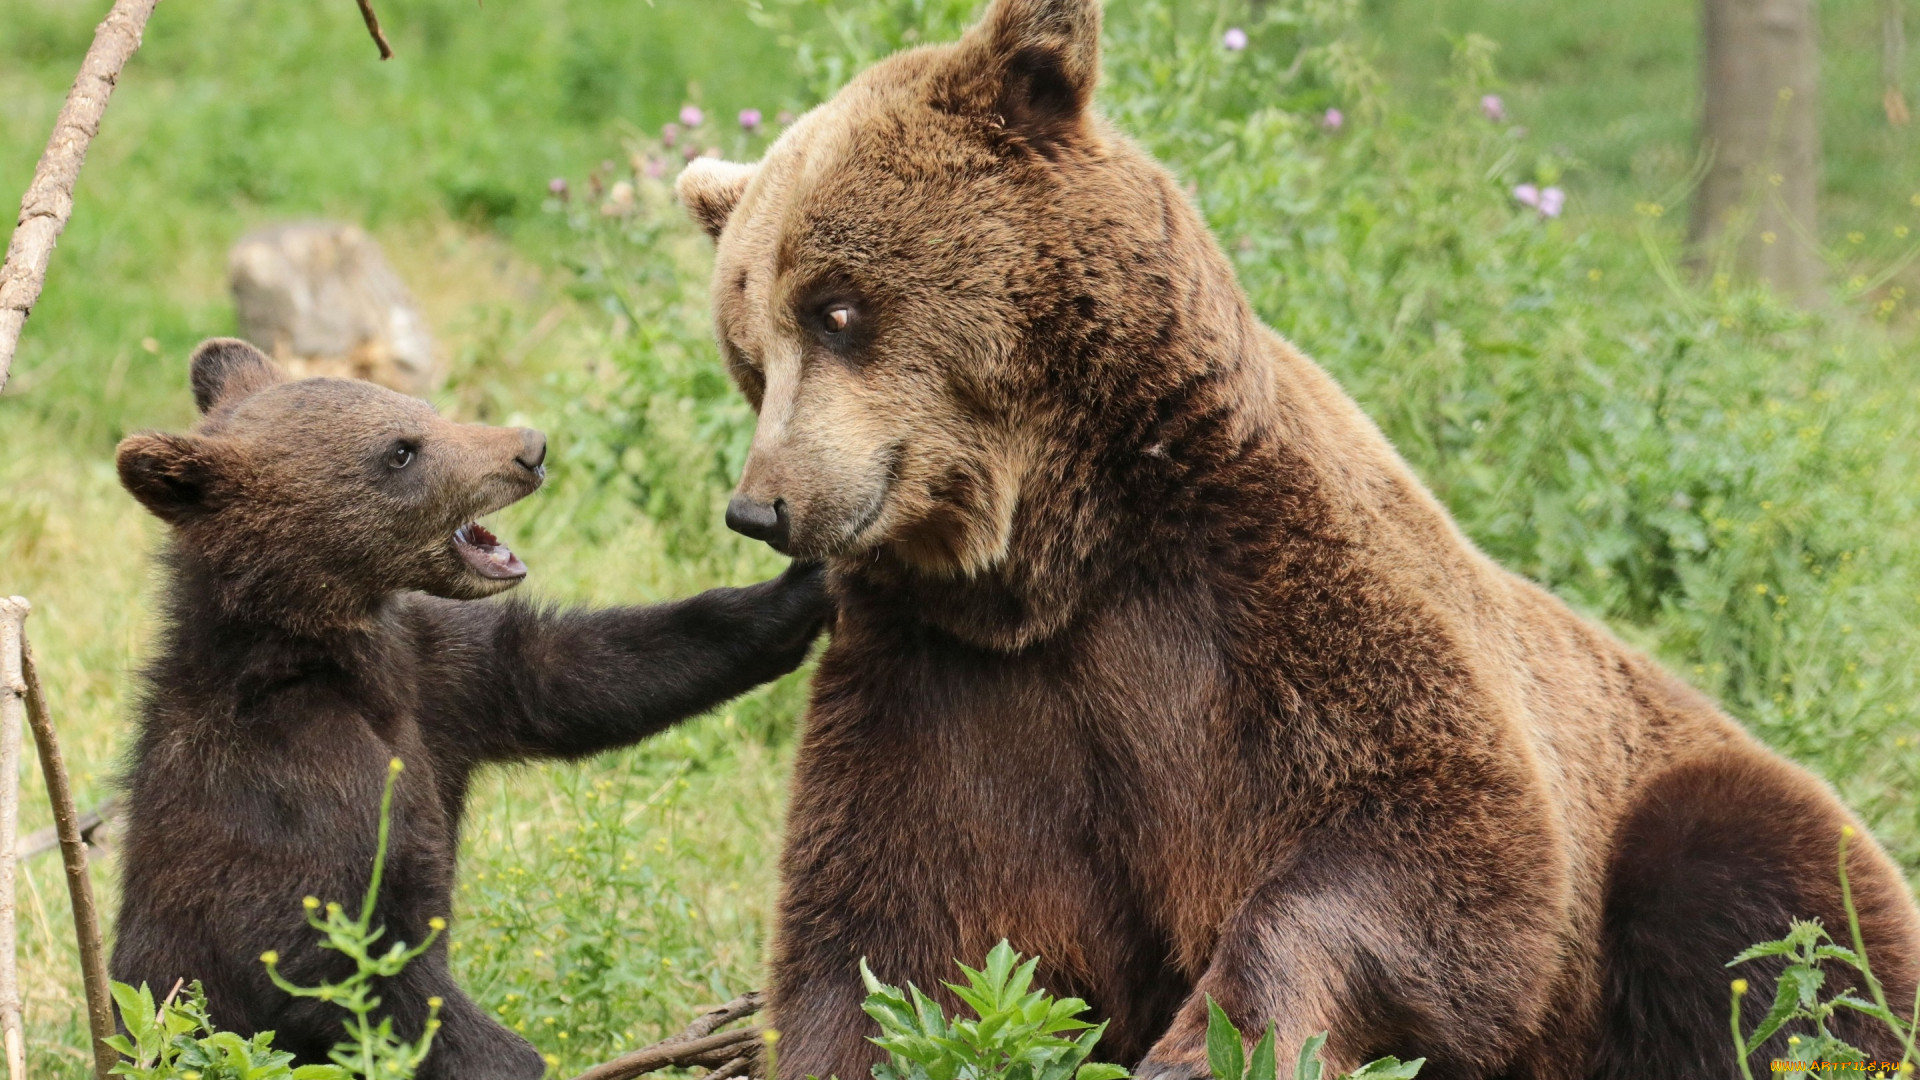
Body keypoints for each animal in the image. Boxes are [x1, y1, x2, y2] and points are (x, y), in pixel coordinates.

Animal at [672, 2, 1920, 1068]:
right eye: (749, 352)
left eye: (836, 308)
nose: (762, 505)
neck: (1059, 555)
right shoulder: (957, 692)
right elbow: (897, 936)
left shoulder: (1269, 595)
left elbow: (1435, 840)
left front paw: (1208, 1045)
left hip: (1693, 806)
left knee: (1769, 914)